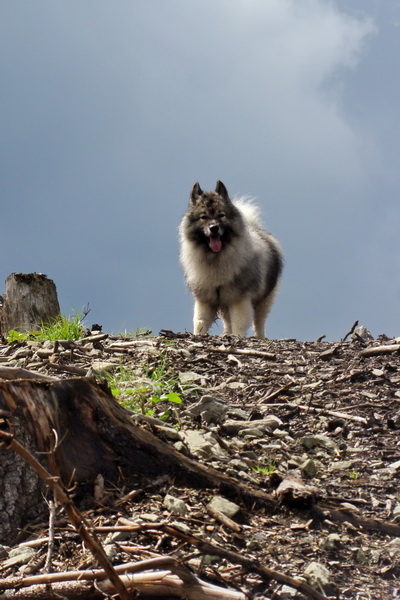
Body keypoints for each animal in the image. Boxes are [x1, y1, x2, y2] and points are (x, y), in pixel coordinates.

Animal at [180, 178, 282, 338]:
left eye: (221, 215)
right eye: (203, 217)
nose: (214, 228)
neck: (216, 258)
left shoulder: (239, 299)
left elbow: (239, 323)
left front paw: (237, 337)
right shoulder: (205, 300)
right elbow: (200, 322)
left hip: (264, 300)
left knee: (259, 322)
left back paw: (259, 337)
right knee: (227, 322)